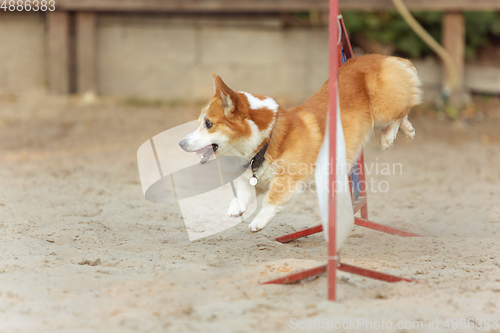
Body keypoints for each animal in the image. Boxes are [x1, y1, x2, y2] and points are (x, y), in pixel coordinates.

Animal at [180, 53, 422, 231]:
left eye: (208, 123)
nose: (181, 144)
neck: (267, 140)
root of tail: (388, 57)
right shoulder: (254, 178)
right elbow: (244, 191)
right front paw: (236, 207)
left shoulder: (289, 177)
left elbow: (271, 199)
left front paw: (258, 221)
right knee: (404, 113)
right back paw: (408, 130)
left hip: (384, 106)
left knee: (404, 108)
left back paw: (388, 137)